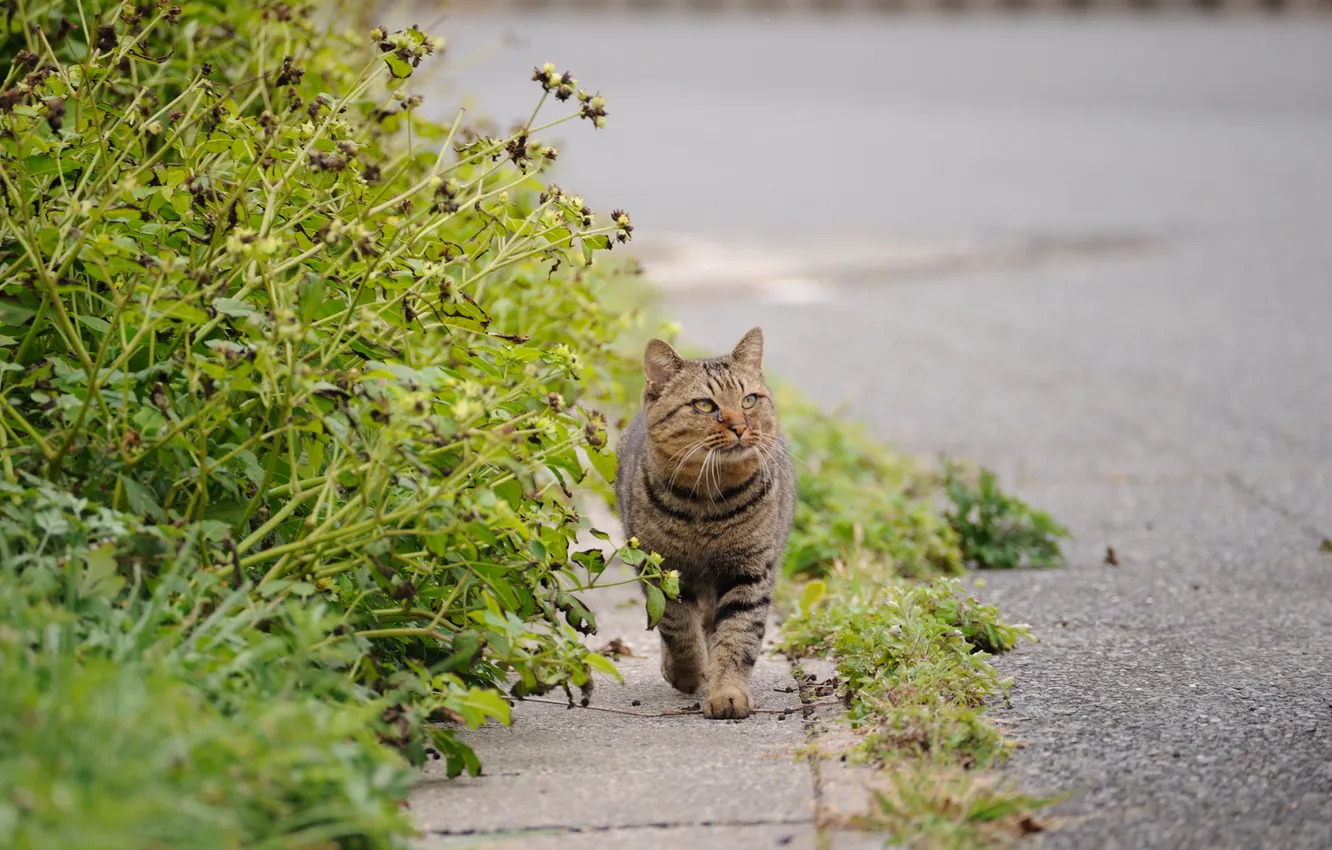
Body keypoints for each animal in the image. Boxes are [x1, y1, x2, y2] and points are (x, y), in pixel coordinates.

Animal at [610, 326, 788, 719]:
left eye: (749, 400)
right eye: (705, 405)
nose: (740, 426)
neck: (708, 501)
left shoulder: (749, 571)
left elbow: (736, 636)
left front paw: (728, 693)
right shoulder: (660, 566)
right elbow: (677, 626)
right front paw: (687, 673)